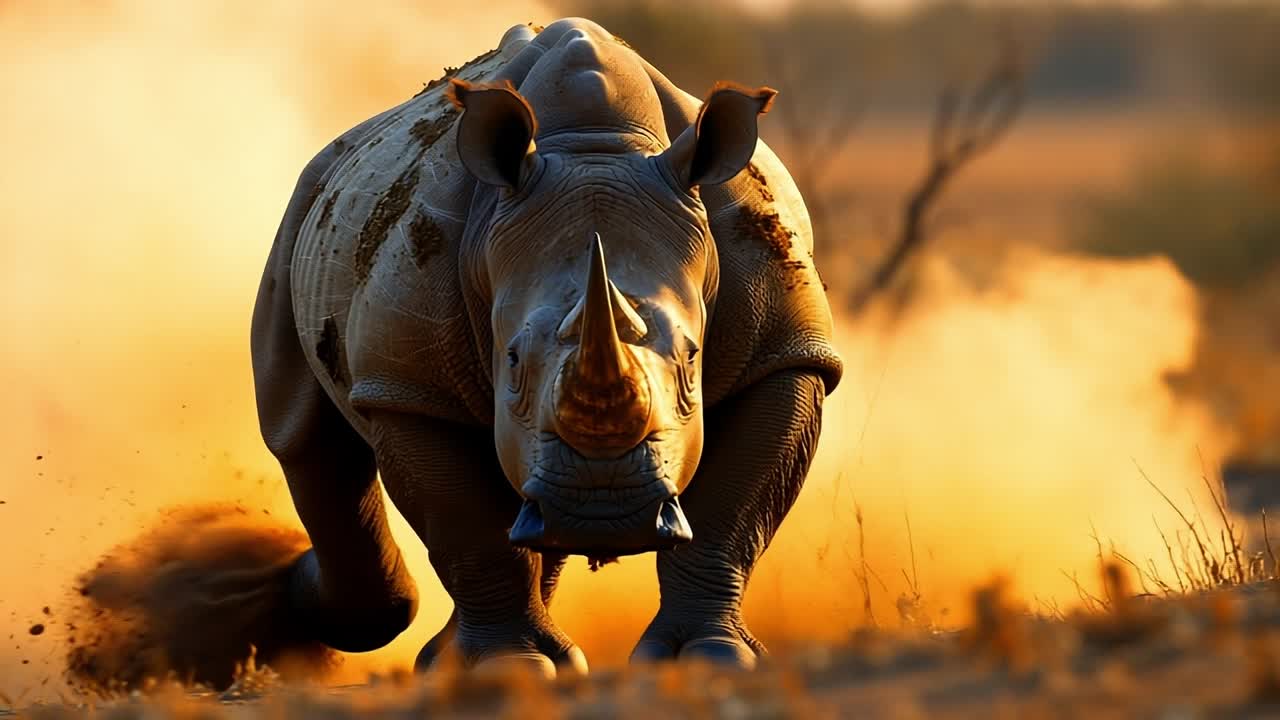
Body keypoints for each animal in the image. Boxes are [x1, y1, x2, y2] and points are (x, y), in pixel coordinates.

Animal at [251, 17, 842, 675]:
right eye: (511, 361)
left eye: (691, 359)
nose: (604, 508)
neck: (596, 146)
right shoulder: (409, 383)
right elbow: (466, 529)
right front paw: (507, 669)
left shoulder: (785, 350)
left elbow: (731, 514)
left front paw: (705, 658)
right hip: (303, 212)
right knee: (302, 434)